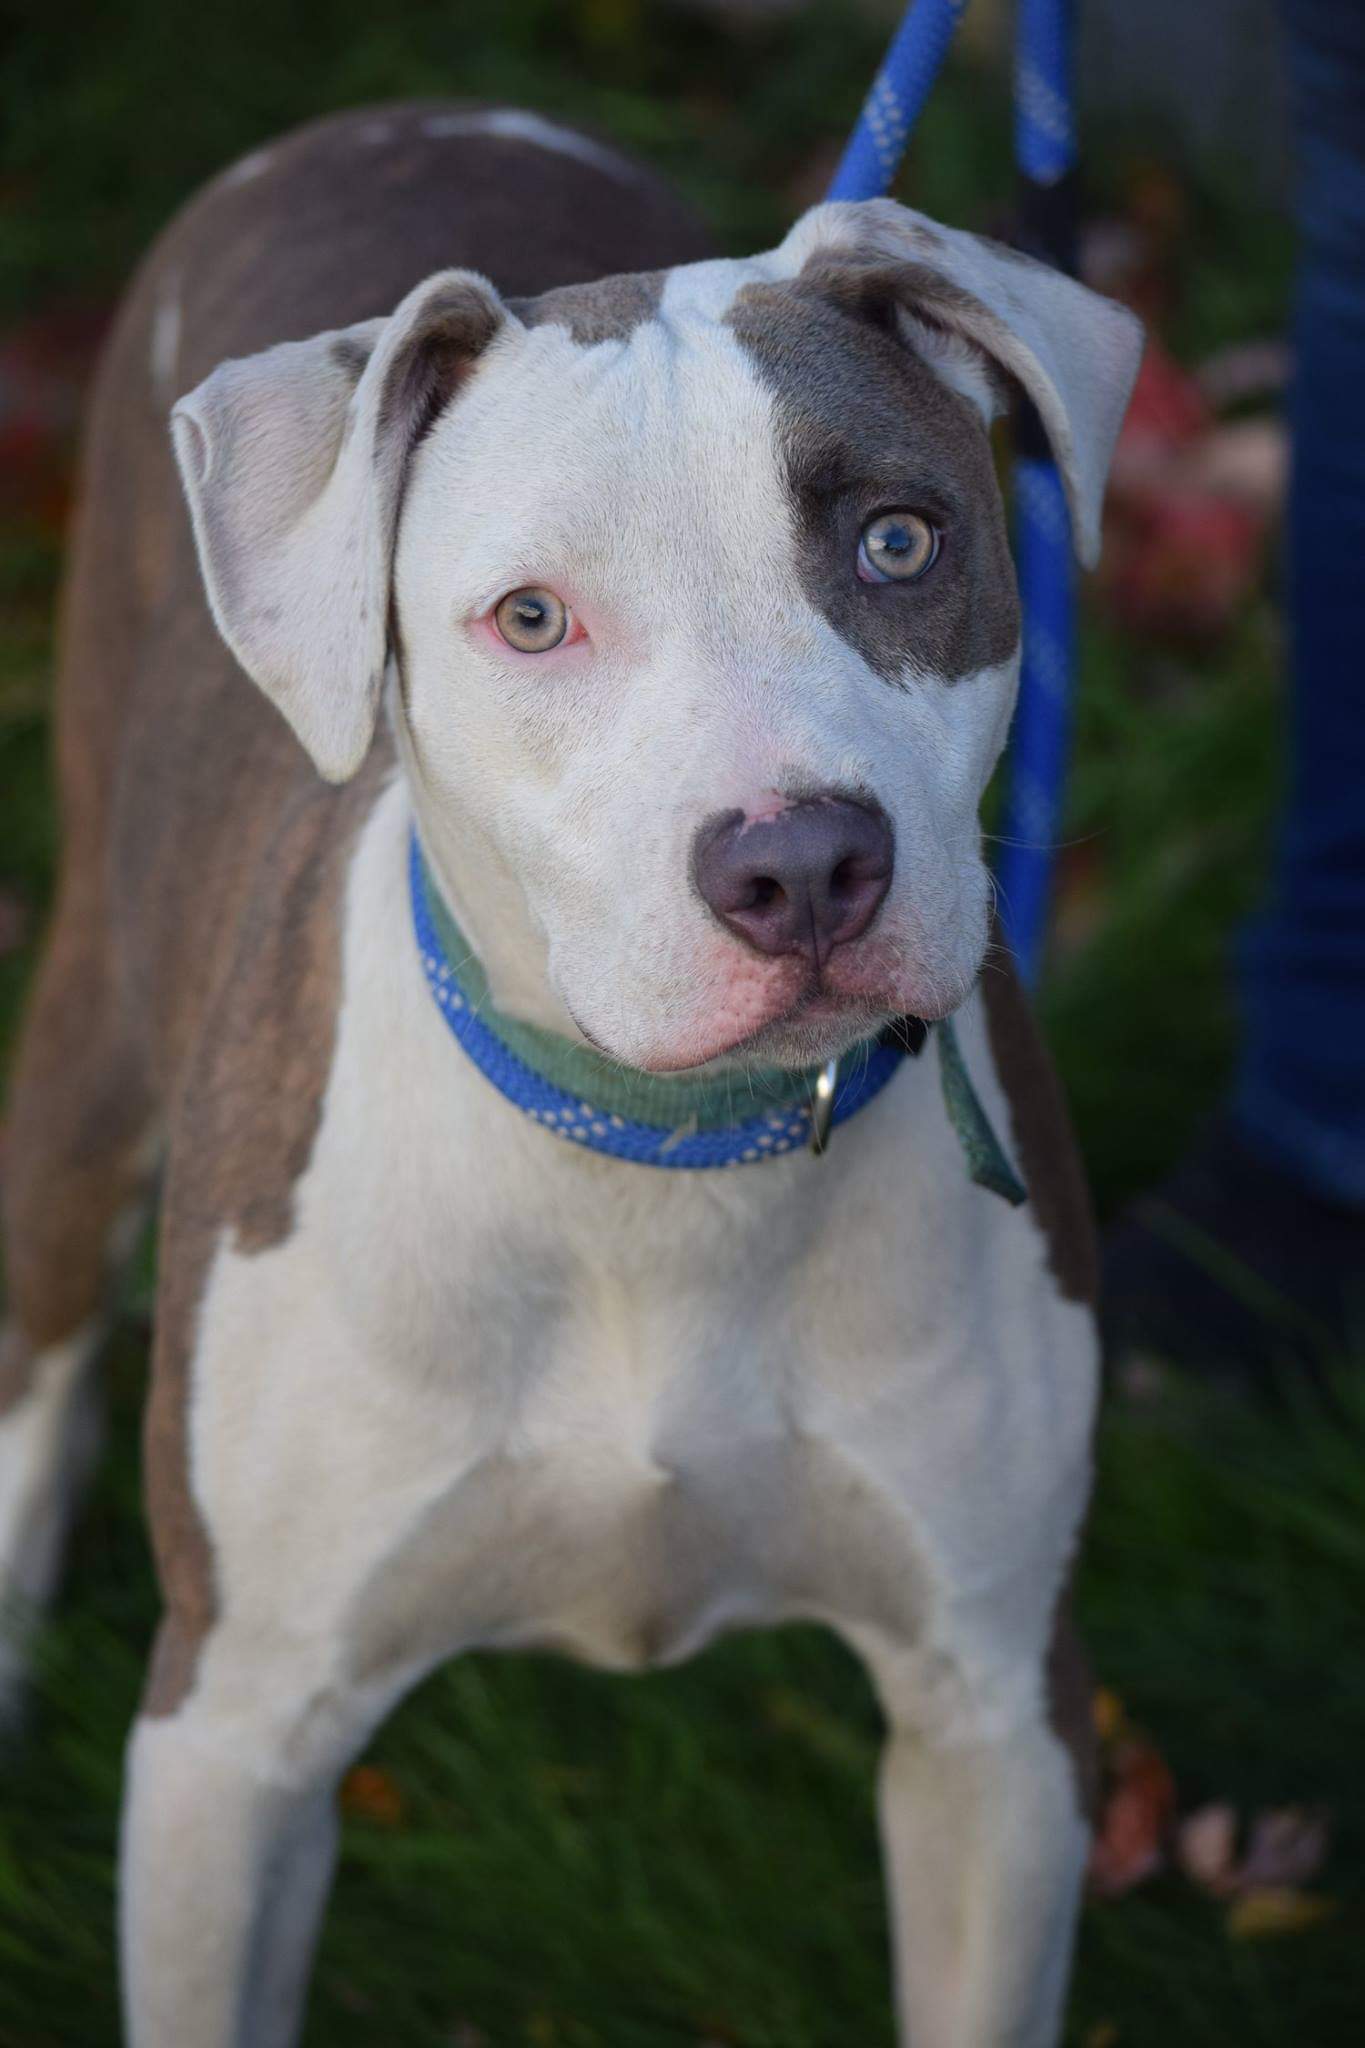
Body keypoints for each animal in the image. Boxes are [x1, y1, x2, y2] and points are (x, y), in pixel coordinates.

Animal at [0, 108, 1146, 2048]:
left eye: (898, 539)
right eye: (531, 619)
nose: (802, 863)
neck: (659, 1171)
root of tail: (390, 121)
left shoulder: (997, 1713)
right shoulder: (235, 1739)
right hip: (88, 1019)